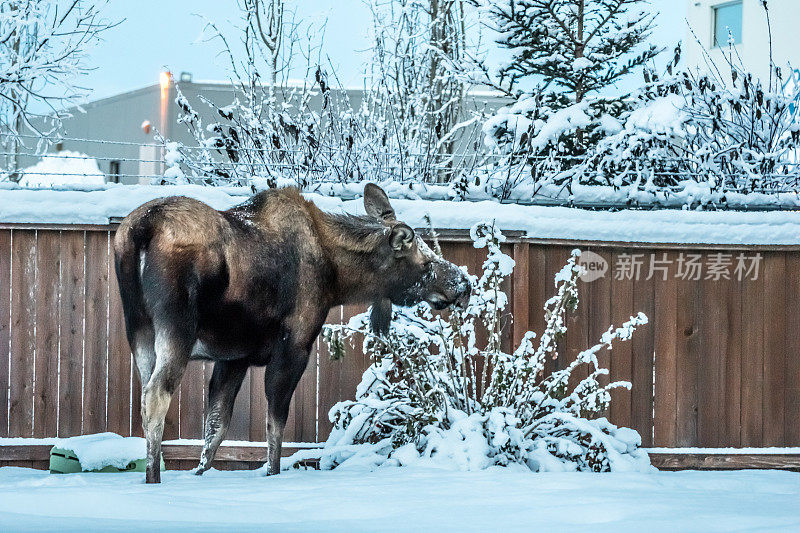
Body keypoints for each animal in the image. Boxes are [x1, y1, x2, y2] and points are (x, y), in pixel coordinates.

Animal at [115, 185, 472, 484]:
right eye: (425, 261)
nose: (463, 283)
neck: (337, 277)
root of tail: (141, 230)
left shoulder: (234, 358)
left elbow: (215, 426)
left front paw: (200, 474)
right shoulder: (294, 347)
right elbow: (275, 425)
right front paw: (271, 475)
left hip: (139, 331)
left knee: (145, 395)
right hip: (177, 329)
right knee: (156, 395)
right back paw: (153, 479)